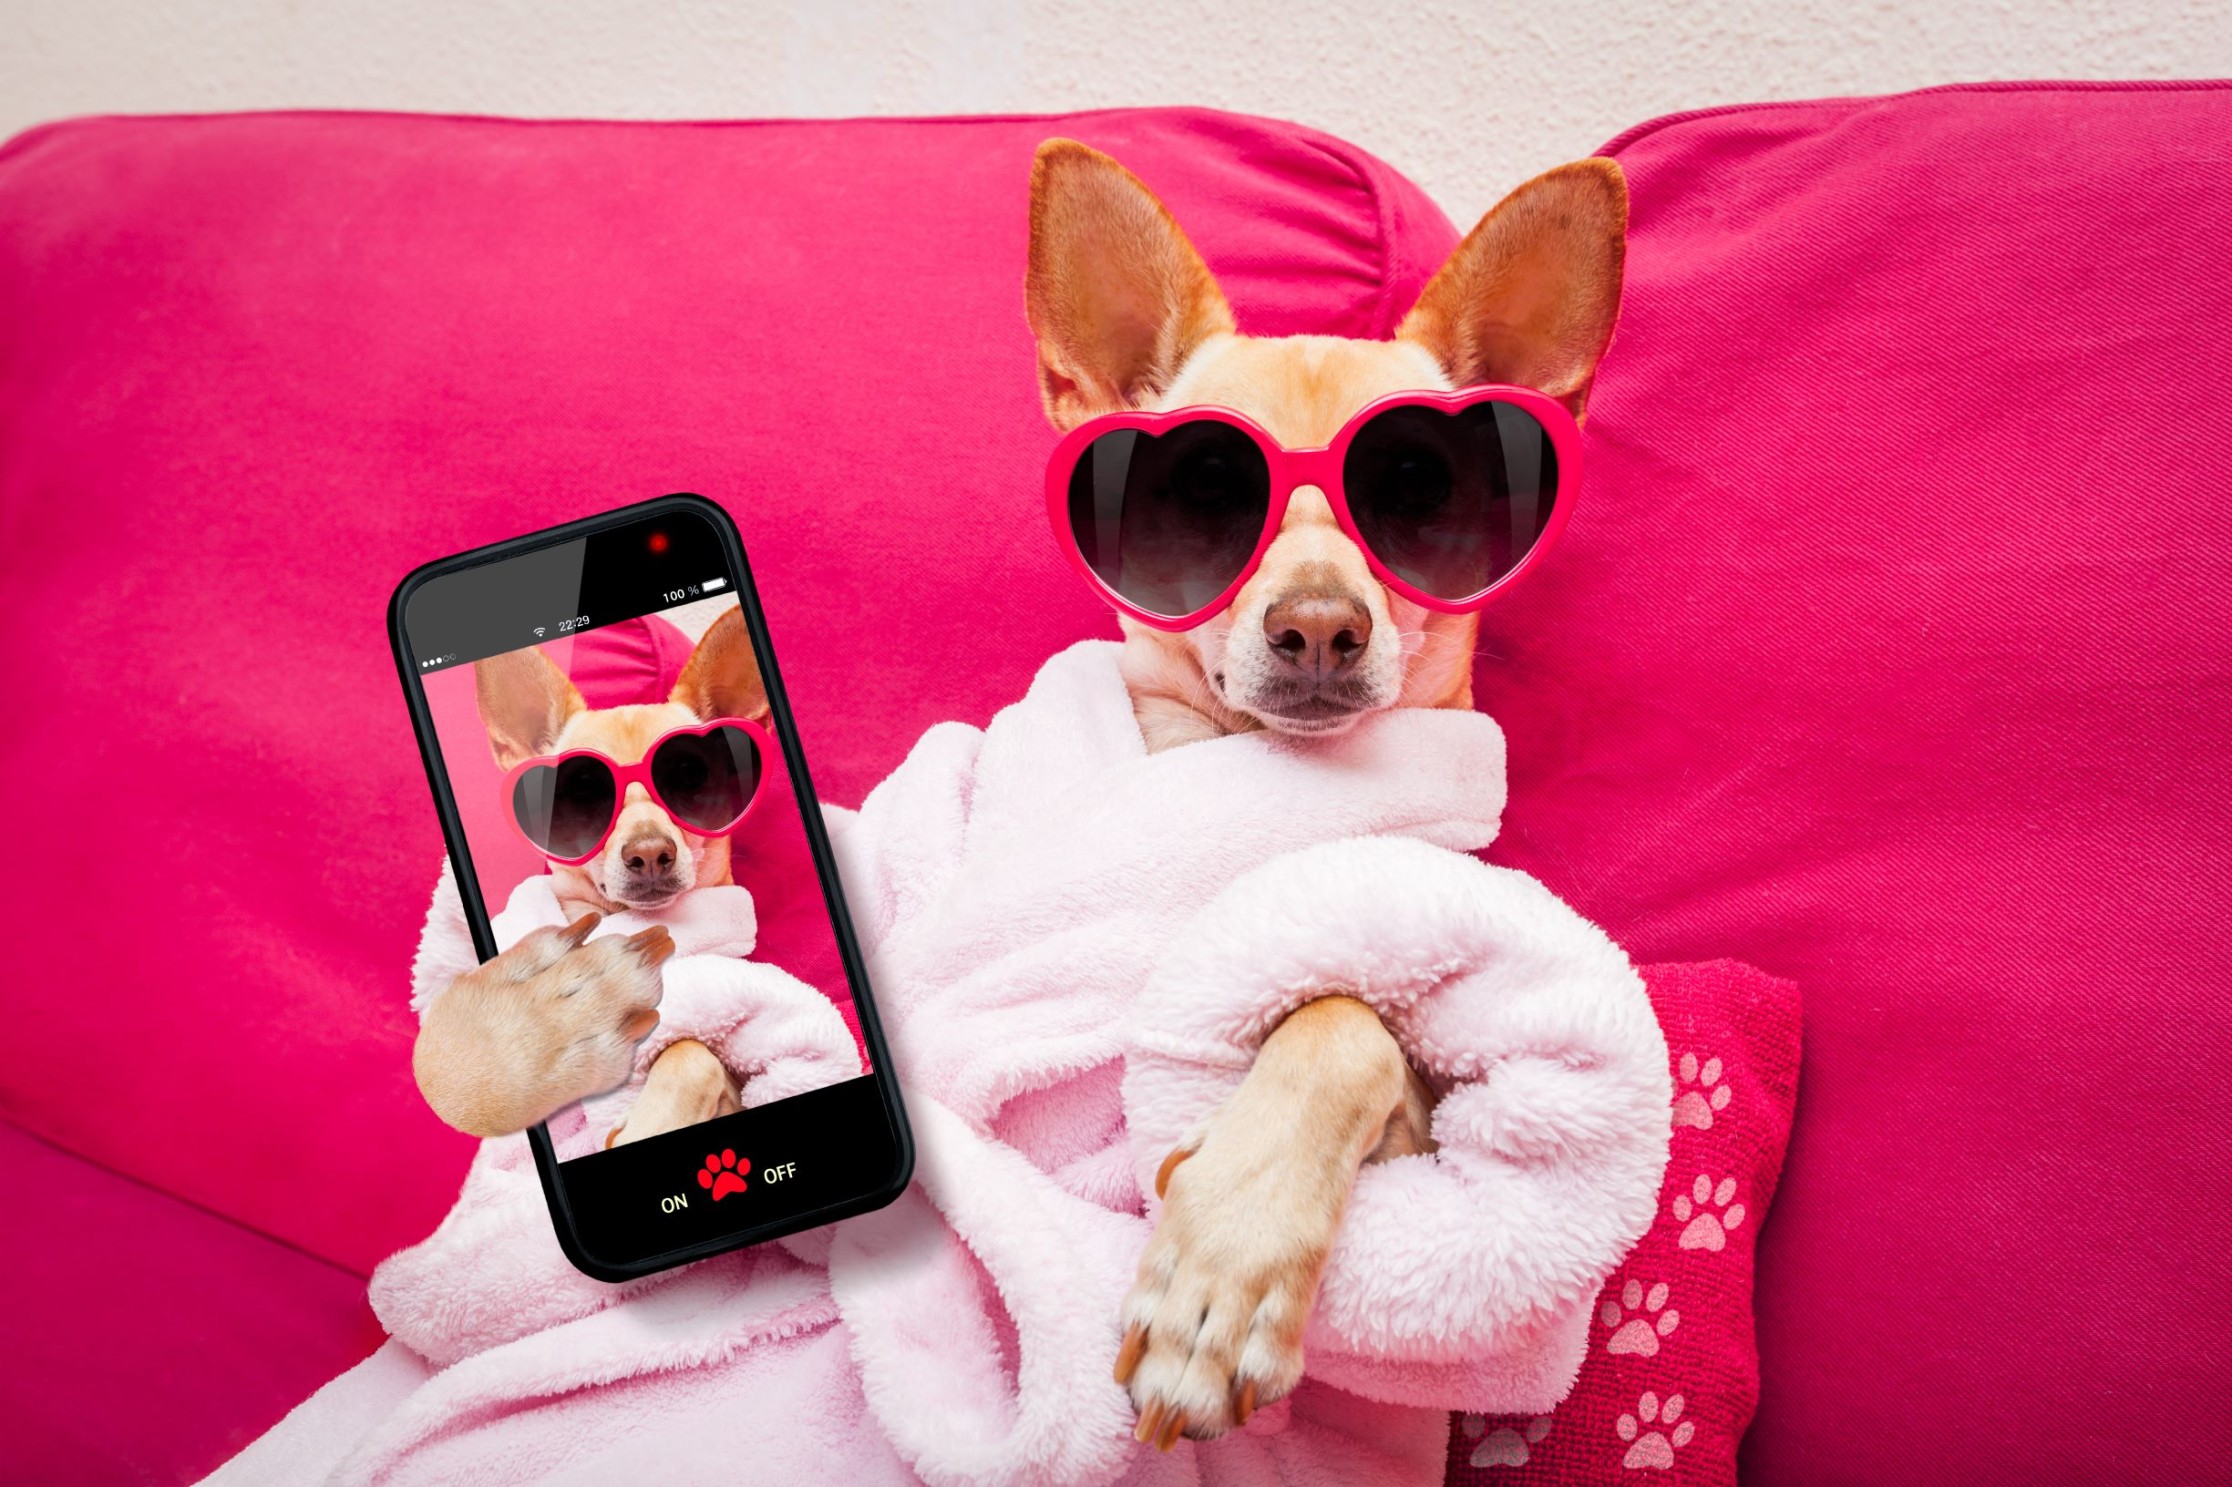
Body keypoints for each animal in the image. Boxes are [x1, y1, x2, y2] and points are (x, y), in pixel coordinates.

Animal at [415, 141, 1624, 1446]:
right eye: (1202, 495)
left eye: (1419, 494)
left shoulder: (1428, 1115)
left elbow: (1339, 1018)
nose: (1316, 626)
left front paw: (1223, 1265)